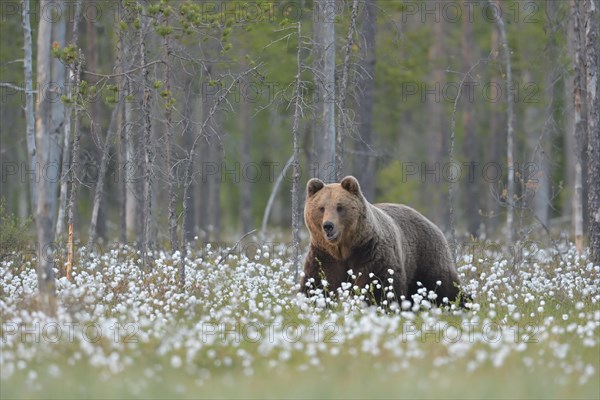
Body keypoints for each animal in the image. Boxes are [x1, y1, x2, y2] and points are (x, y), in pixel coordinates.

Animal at [300, 175, 464, 306]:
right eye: (321, 208)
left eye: (340, 207)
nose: (328, 226)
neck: (343, 249)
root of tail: (431, 222)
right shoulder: (324, 256)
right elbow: (317, 283)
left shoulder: (370, 253)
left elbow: (380, 283)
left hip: (426, 255)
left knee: (444, 284)